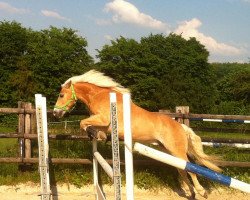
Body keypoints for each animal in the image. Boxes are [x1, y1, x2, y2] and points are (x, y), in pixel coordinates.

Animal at [53, 69, 222, 199]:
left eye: (61, 95)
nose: (55, 113)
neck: (100, 96)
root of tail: (180, 126)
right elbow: (88, 125)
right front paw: (98, 136)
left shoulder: (104, 119)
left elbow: (83, 122)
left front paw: (97, 135)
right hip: (170, 151)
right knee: (182, 171)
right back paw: (192, 193)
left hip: (177, 150)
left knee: (191, 169)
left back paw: (201, 192)